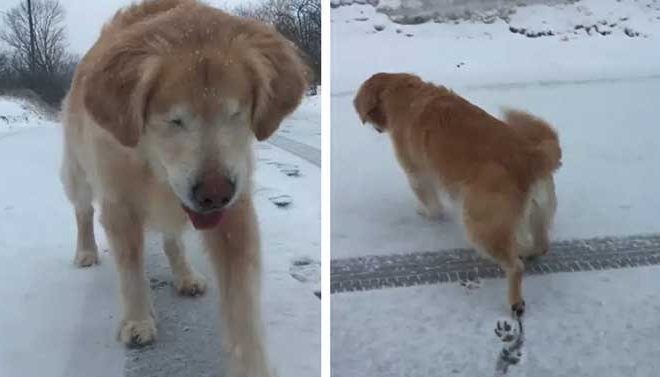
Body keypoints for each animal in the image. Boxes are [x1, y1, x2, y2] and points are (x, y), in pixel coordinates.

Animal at [59, 0, 306, 374]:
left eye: (236, 113)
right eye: (174, 120)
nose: (214, 193)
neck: (152, 166)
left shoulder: (235, 210)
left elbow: (241, 302)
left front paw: (251, 365)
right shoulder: (119, 204)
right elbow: (130, 270)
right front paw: (138, 321)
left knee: (172, 238)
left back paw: (185, 274)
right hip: (78, 174)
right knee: (83, 211)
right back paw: (86, 251)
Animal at [356, 72, 564, 316]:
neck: (403, 93)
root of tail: (531, 155)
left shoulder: (417, 174)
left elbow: (431, 204)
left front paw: (426, 213)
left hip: (480, 226)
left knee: (515, 267)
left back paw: (515, 301)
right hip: (538, 213)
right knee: (541, 245)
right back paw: (526, 250)